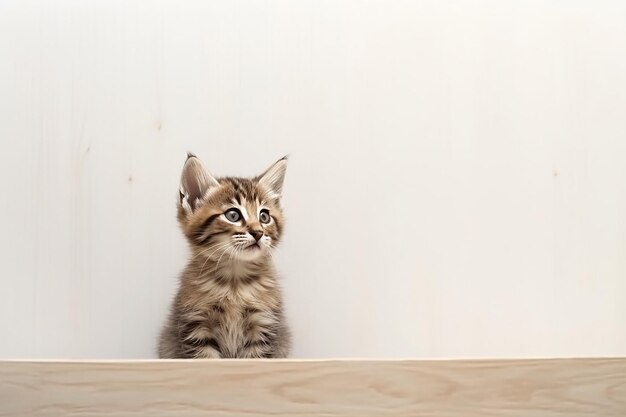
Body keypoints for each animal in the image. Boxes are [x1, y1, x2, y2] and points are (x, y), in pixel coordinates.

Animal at [158, 153, 290, 358]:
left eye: (264, 217)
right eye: (233, 215)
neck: (234, 283)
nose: (258, 233)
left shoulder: (263, 326)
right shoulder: (197, 327)